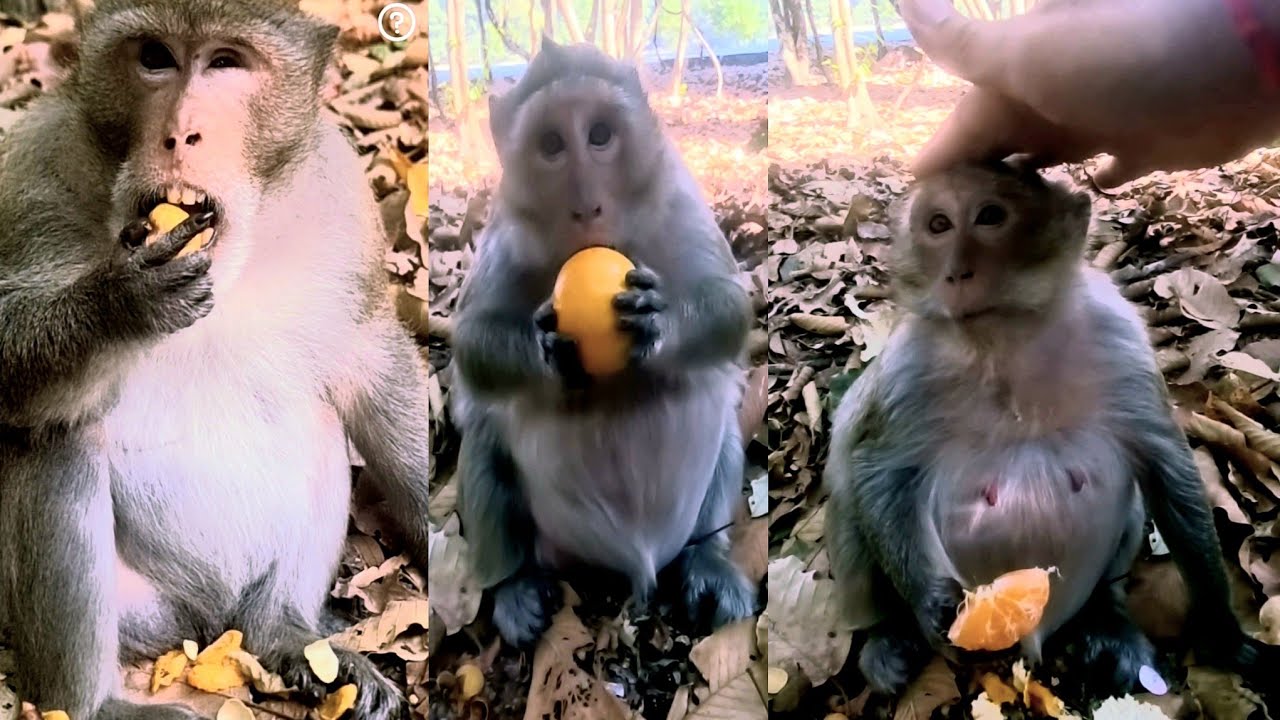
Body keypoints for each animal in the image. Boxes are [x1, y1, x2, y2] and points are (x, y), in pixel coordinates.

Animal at [0, 1, 431, 718]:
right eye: (155, 57)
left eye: (226, 62)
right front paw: (120, 304)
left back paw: (286, 634)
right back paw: (96, 703)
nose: (180, 134)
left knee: (318, 420)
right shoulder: (33, 170)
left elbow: (373, 364)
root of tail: (205, 625)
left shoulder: (341, 195)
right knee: (60, 438)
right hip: (144, 613)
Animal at [448, 39, 757, 649]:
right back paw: (514, 585)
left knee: (722, 416)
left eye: (599, 135)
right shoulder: (506, 230)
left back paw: (707, 559)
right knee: (486, 437)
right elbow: (472, 343)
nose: (586, 206)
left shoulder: (676, 197)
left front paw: (659, 325)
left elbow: (730, 306)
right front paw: (546, 349)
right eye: (550, 145)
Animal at [823, 162, 1280, 697]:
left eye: (990, 216)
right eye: (938, 225)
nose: (955, 272)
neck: (1007, 339)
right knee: (848, 491)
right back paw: (888, 634)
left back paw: (1105, 616)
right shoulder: (909, 364)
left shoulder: (1119, 334)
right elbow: (875, 465)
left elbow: (1167, 466)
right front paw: (926, 600)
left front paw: (1223, 633)